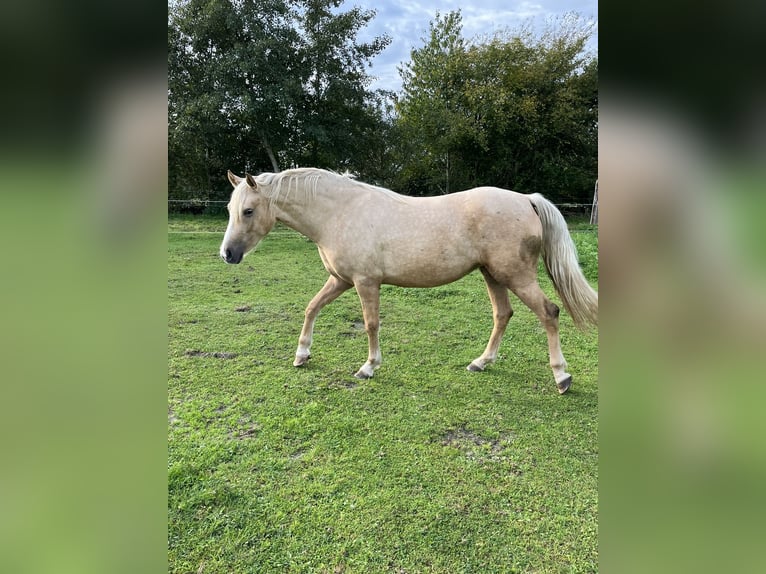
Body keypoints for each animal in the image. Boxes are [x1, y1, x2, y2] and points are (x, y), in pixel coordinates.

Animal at [220, 168, 597, 394]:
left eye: (248, 211)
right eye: (229, 210)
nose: (227, 254)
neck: (339, 212)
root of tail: (527, 200)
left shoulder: (365, 282)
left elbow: (371, 324)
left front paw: (369, 367)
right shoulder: (339, 280)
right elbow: (311, 308)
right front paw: (302, 354)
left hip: (515, 276)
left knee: (549, 313)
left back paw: (561, 377)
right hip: (493, 275)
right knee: (502, 315)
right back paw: (481, 363)